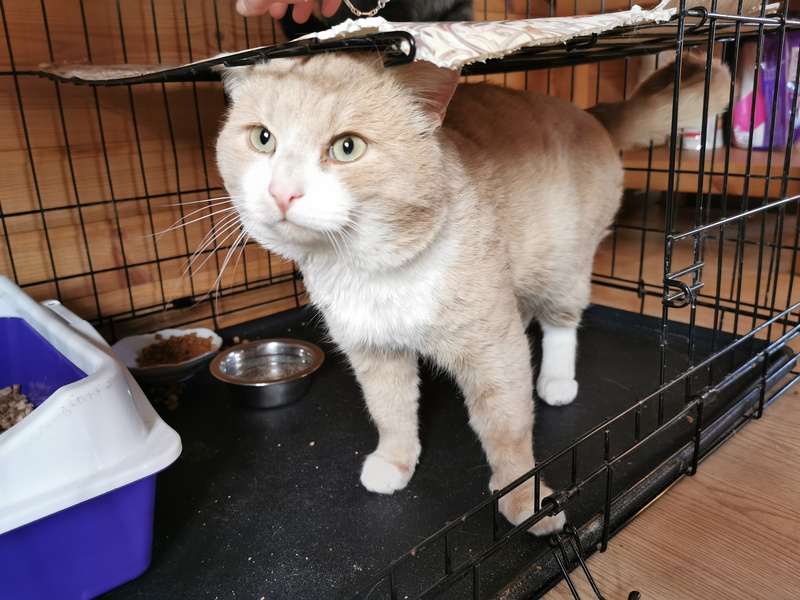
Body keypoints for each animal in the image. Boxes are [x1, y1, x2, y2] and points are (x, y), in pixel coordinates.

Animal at [215, 52, 730, 534]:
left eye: (347, 147)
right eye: (263, 138)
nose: (283, 192)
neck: (373, 270)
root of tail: (591, 113)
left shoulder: (494, 350)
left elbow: (507, 430)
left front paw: (525, 502)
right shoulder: (375, 351)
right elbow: (391, 413)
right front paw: (395, 462)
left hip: (563, 267)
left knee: (561, 325)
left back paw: (556, 381)